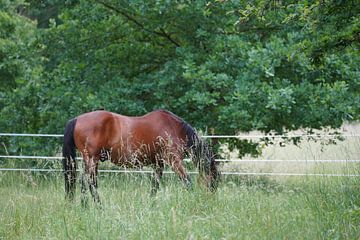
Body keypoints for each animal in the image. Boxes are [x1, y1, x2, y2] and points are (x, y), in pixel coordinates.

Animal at [62, 109, 219, 203]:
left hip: (89, 161)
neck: (173, 128)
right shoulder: (174, 160)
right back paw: (99, 207)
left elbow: (155, 185)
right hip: (92, 160)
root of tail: (76, 119)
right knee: (90, 183)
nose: (211, 198)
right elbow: (187, 181)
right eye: (214, 178)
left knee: (85, 182)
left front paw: (151, 204)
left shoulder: (158, 163)